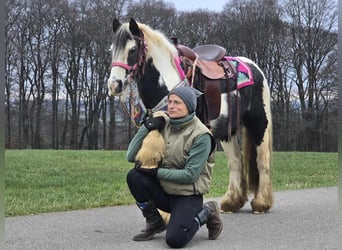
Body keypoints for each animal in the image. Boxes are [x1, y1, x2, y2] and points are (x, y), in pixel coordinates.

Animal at [108, 18, 274, 213]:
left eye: (133, 49)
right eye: (112, 50)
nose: (114, 85)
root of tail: (253, 67)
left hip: (259, 122)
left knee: (262, 160)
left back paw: (261, 203)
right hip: (228, 131)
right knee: (236, 162)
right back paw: (231, 202)